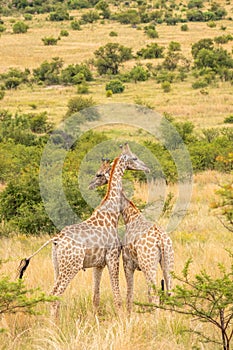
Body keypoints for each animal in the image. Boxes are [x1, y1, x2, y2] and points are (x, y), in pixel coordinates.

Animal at [17, 144, 149, 318]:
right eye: (134, 157)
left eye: (99, 174)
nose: (147, 168)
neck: (111, 214)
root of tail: (56, 240)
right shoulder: (113, 257)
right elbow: (117, 295)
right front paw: (122, 318)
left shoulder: (98, 264)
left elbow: (96, 296)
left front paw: (96, 318)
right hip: (71, 266)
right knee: (55, 294)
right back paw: (53, 324)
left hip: (57, 266)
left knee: (53, 294)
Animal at [88, 159, 173, 314]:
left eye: (98, 174)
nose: (90, 185)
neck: (130, 216)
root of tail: (161, 241)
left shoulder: (127, 263)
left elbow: (129, 293)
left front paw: (129, 313)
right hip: (168, 261)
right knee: (170, 290)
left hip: (148, 264)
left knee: (155, 294)